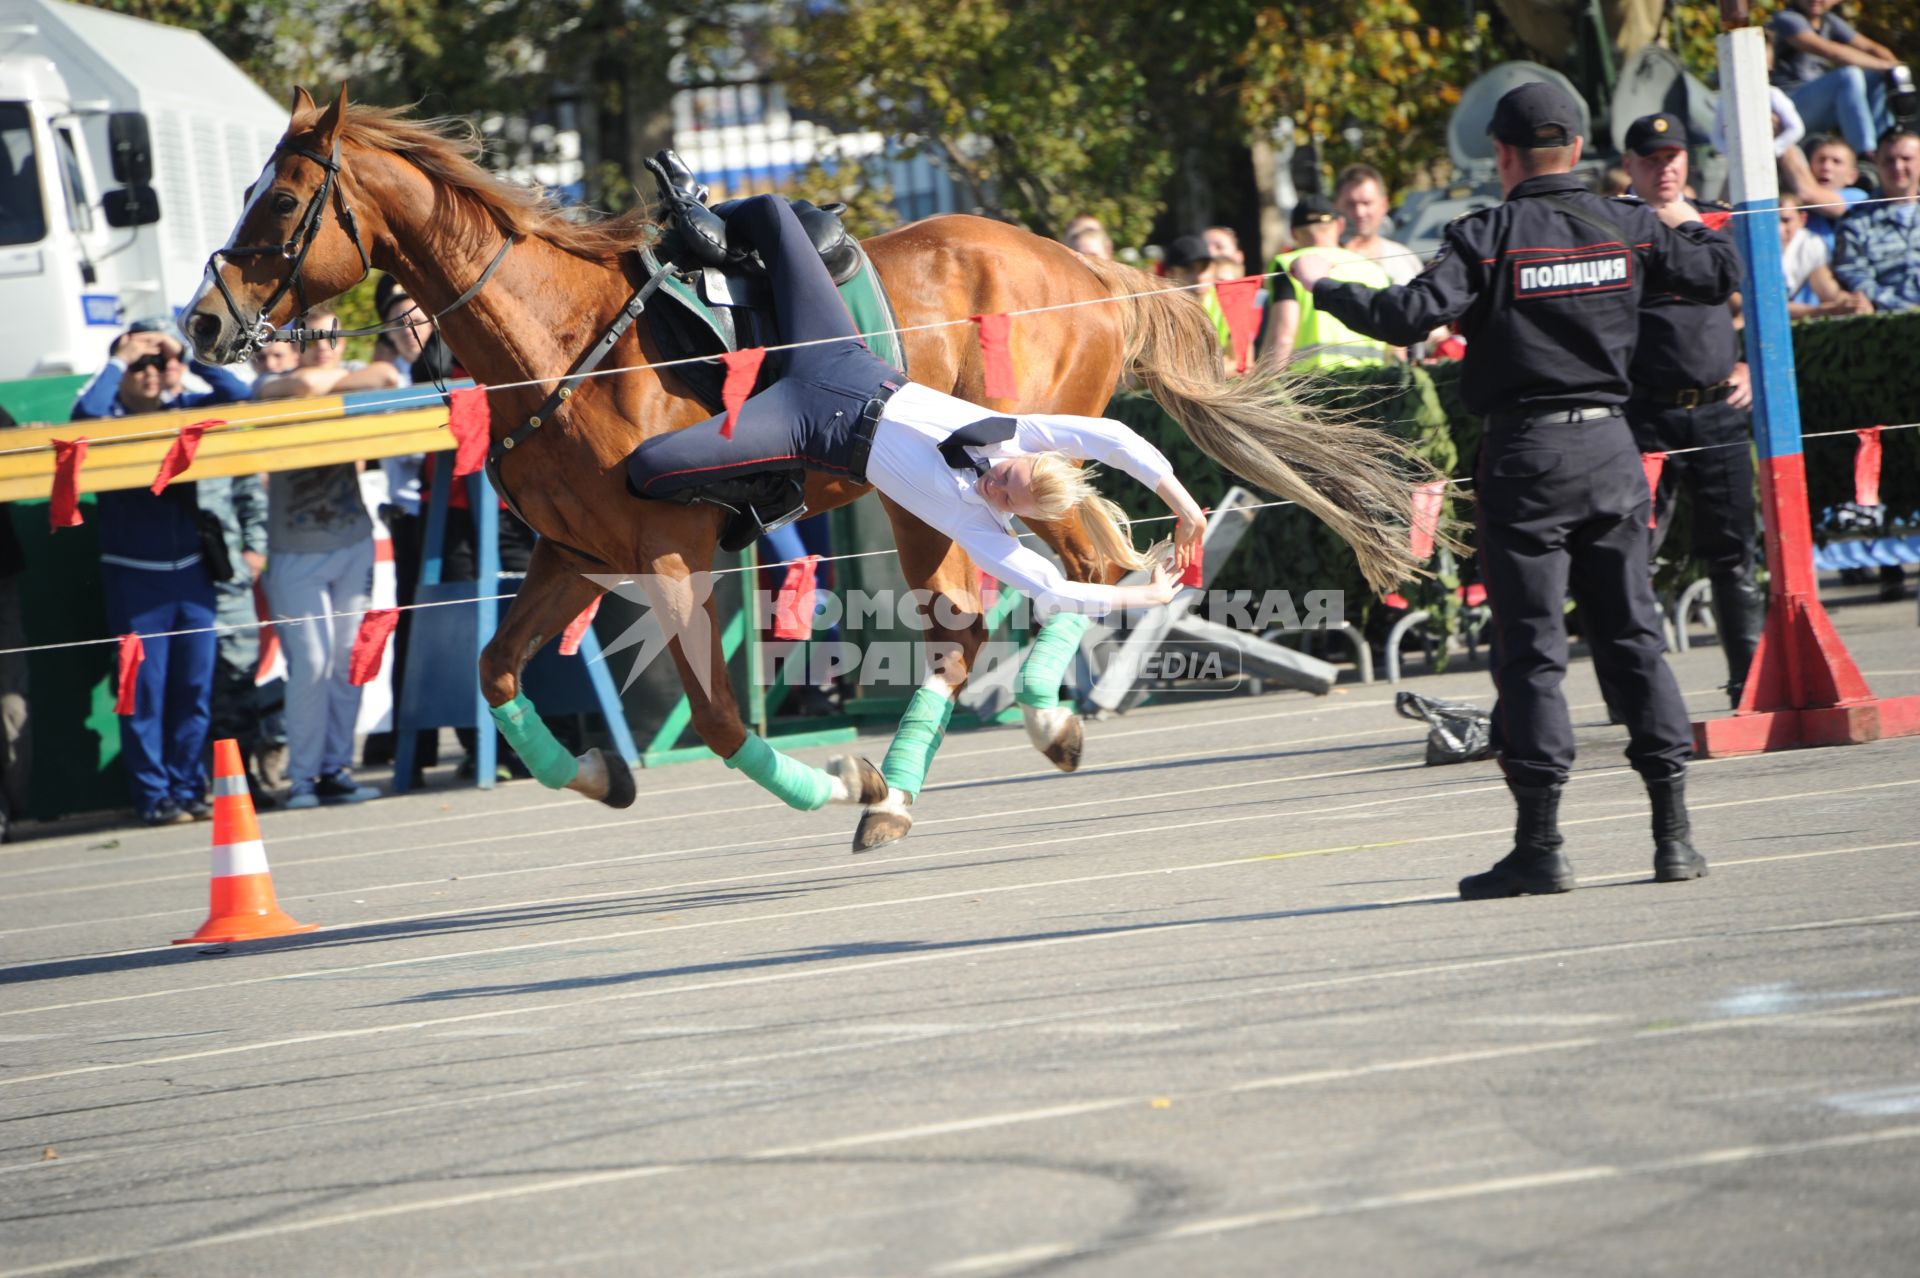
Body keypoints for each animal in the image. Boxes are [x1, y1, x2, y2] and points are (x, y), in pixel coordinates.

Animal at [183, 89, 1443, 844]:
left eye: (281, 198)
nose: (202, 322)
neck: (569, 339)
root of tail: (1091, 269)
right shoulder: (575, 558)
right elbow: (494, 673)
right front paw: (599, 774)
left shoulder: (677, 556)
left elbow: (721, 721)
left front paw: (835, 777)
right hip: (934, 491)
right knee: (1008, 606)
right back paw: (953, 760)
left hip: (990, 459)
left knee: (1074, 576)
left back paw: (996, 736)